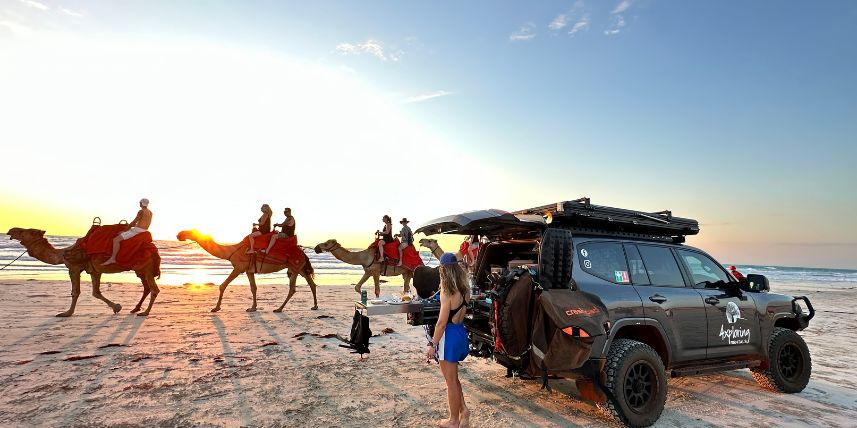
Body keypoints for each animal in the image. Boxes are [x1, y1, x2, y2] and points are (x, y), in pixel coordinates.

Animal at [7, 229, 160, 316]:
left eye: (24, 231)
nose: (10, 231)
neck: (63, 253)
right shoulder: (94, 271)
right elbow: (96, 292)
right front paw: (117, 307)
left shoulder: (74, 267)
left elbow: (75, 292)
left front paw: (66, 313)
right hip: (140, 270)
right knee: (146, 287)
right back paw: (135, 309)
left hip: (146, 268)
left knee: (154, 289)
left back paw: (145, 312)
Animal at [176, 229, 320, 312]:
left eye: (190, 230)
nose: (179, 235)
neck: (232, 250)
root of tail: (303, 253)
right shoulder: (249, 270)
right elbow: (253, 288)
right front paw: (253, 307)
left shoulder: (239, 267)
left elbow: (223, 285)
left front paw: (216, 308)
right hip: (300, 268)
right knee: (311, 283)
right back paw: (314, 306)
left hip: (295, 267)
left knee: (293, 289)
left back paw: (279, 309)